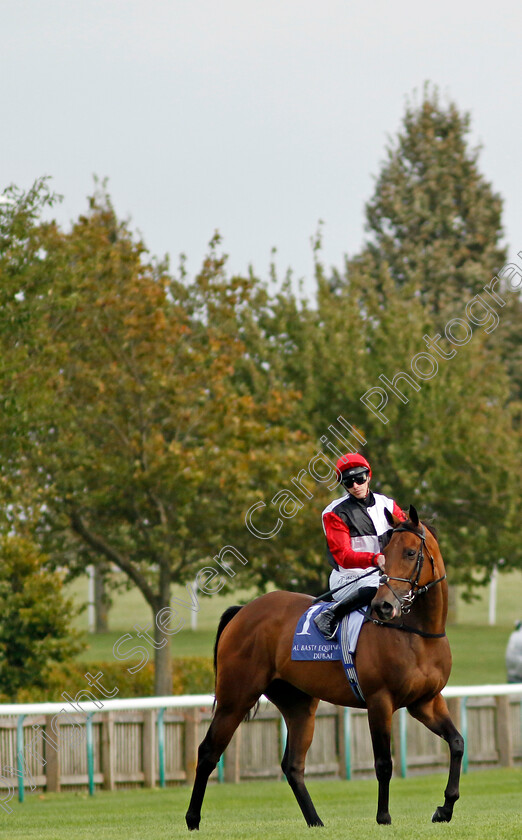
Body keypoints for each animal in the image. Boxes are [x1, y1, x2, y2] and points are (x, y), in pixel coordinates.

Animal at [185, 506, 462, 828]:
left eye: (409, 552)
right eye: (384, 553)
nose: (383, 606)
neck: (416, 634)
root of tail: (244, 610)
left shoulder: (425, 701)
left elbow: (457, 742)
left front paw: (445, 808)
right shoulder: (380, 701)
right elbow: (383, 763)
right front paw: (383, 817)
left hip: (298, 704)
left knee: (292, 765)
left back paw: (315, 821)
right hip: (236, 697)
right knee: (208, 752)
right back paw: (192, 819)